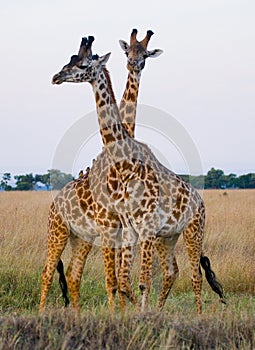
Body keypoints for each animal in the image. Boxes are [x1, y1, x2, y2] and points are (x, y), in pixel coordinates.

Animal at [52, 37, 225, 314]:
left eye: (83, 64)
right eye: (70, 59)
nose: (56, 76)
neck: (125, 164)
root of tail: (200, 200)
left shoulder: (141, 228)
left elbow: (139, 281)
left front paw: (137, 313)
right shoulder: (129, 229)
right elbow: (122, 280)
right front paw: (132, 313)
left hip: (192, 230)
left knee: (194, 275)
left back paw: (196, 314)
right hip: (165, 237)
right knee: (170, 271)